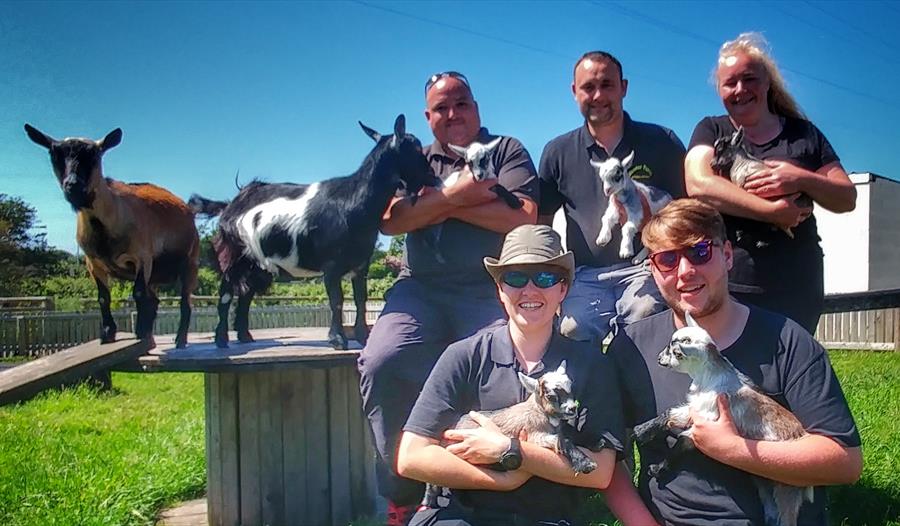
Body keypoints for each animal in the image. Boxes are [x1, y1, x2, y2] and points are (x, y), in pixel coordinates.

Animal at [24, 121, 199, 348]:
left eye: (94, 156)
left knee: (185, 302)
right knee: (154, 300)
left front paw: (139, 331)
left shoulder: (142, 257)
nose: (73, 185)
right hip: (155, 274)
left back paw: (179, 338)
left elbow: (138, 293)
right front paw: (108, 333)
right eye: (54, 155)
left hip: (189, 262)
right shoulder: (93, 263)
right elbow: (103, 297)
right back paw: (151, 334)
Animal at [189, 115, 436, 350]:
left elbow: (360, 299)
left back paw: (245, 336)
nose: (432, 175)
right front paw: (338, 340)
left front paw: (363, 337)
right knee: (226, 293)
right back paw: (222, 339)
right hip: (233, 255)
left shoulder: (361, 264)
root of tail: (231, 204)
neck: (354, 201)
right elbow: (337, 300)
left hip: (257, 264)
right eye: (415, 148)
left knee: (246, 294)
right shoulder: (331, 265)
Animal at [420, 364, 596, 512]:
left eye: (571, 388)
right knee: (436, 482)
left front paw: (596, 443)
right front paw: (585, 464)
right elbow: (563, 440)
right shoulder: (534, 436)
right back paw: (429, 502)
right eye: (550, 395)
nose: (572, 408)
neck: (538, 412)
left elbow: (567, 435)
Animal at [632, 314, 816, 526]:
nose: (659, 358)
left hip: (787, 488)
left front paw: (658, 469)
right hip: (765, 484)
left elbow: (681, 443)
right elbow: (669, 414)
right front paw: (642, 430)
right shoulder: (695, 409)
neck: (712, 377)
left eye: (675, 352)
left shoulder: (705, 422)